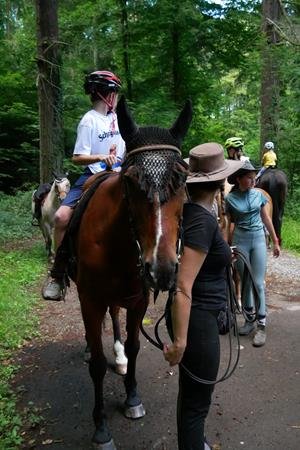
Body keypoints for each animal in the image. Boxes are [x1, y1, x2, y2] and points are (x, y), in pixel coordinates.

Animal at [63, 96, 192, 446]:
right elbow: (96, 364)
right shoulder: (90, 300)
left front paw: (132, 398)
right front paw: (101, 427)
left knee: (115, 317)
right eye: (132, 181)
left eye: (183, 179)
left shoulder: (138, 299)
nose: (162, 269)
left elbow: (135, 347)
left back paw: (118, 356)